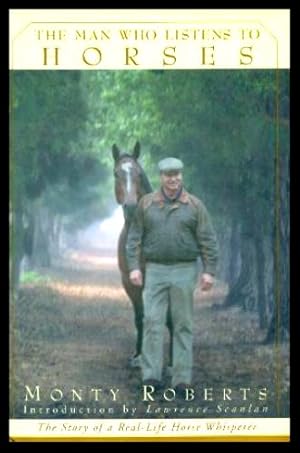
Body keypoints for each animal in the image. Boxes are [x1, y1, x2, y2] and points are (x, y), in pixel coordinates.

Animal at [112, 141, 173, 368]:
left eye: (138, 173)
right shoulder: (130, 282)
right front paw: (138, 356)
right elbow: (140, 317)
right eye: (116, 173)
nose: (130, 207)